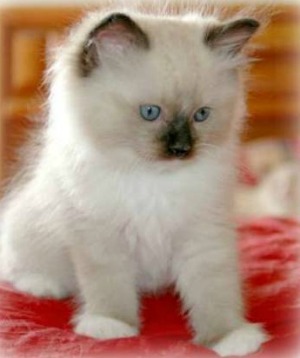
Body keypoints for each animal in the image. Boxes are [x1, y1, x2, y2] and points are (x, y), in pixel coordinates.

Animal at [0, 1, 268, 356]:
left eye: (201, 115)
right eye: (150, 113)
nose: (181, 149)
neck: (152, 180)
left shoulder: (204, 236)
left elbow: (215, 293)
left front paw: (231, 339)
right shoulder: (101, 237)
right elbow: (109, 288)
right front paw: (111, 327)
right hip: (25, 229)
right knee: (15, 268)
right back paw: (44, 286)